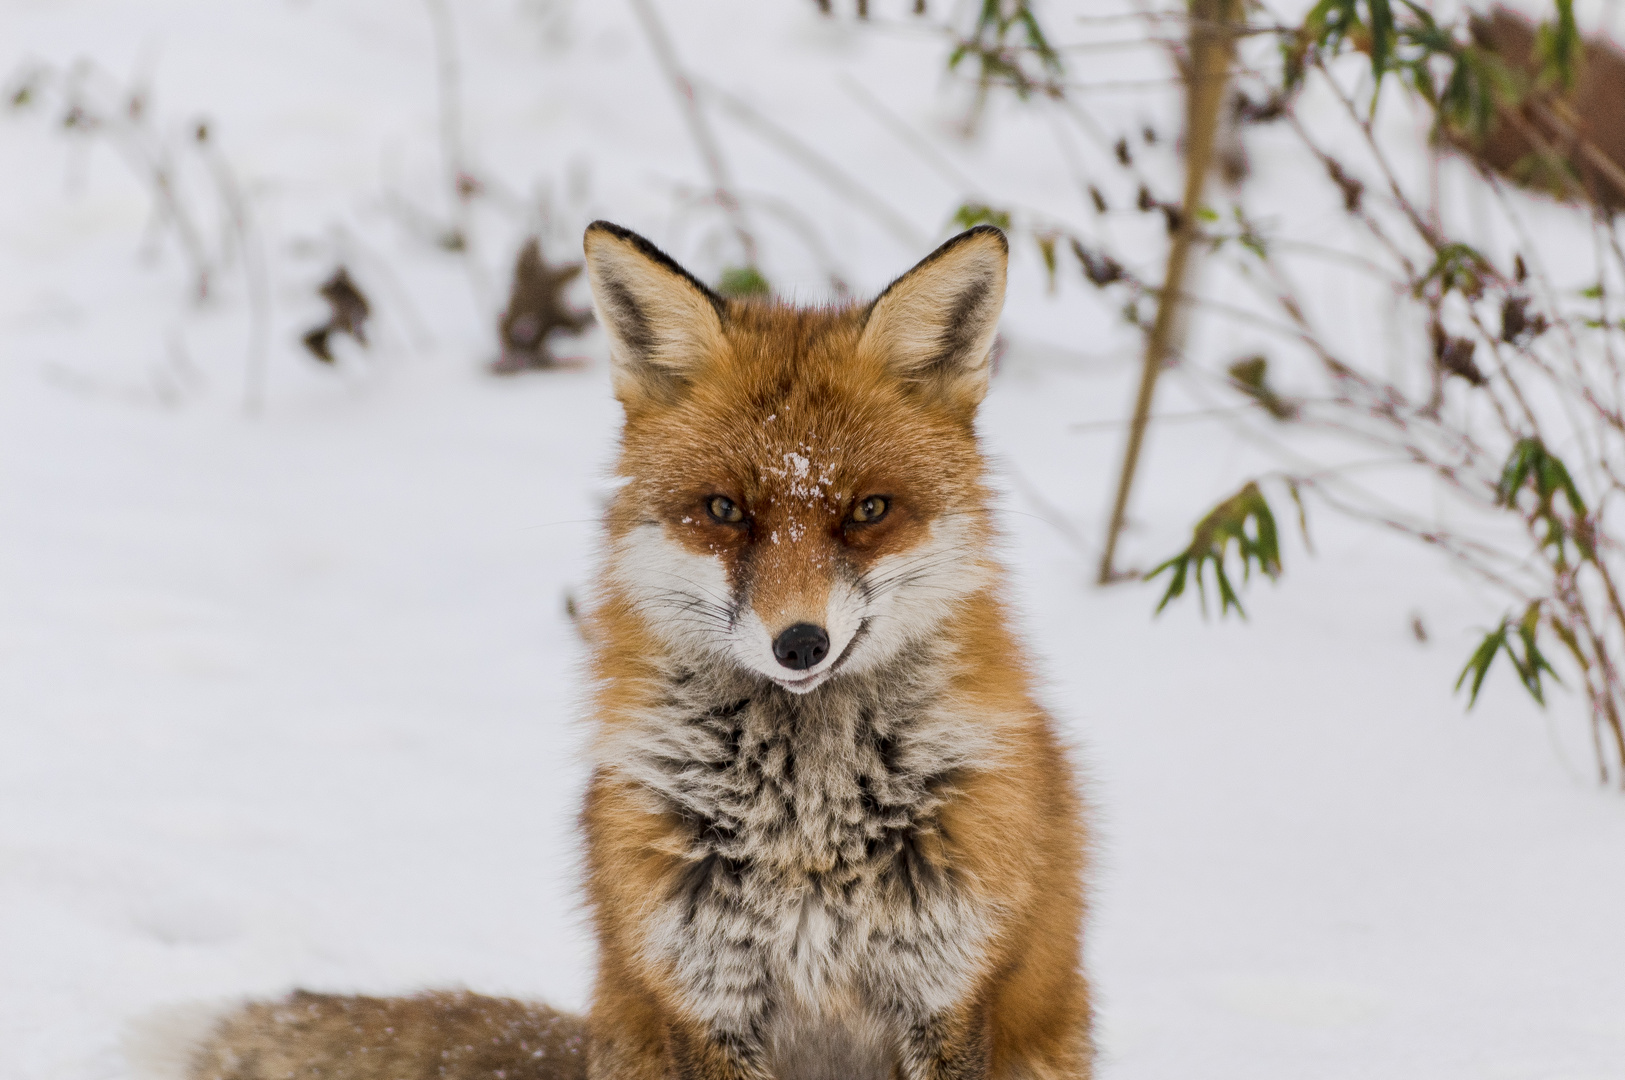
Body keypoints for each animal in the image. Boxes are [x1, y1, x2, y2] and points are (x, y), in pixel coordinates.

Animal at [184, 222, 1092, 1078]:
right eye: (724, 510)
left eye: (868, 510)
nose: (800, 643)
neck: (807, 830)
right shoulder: (703, 999)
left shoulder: (948, 993)